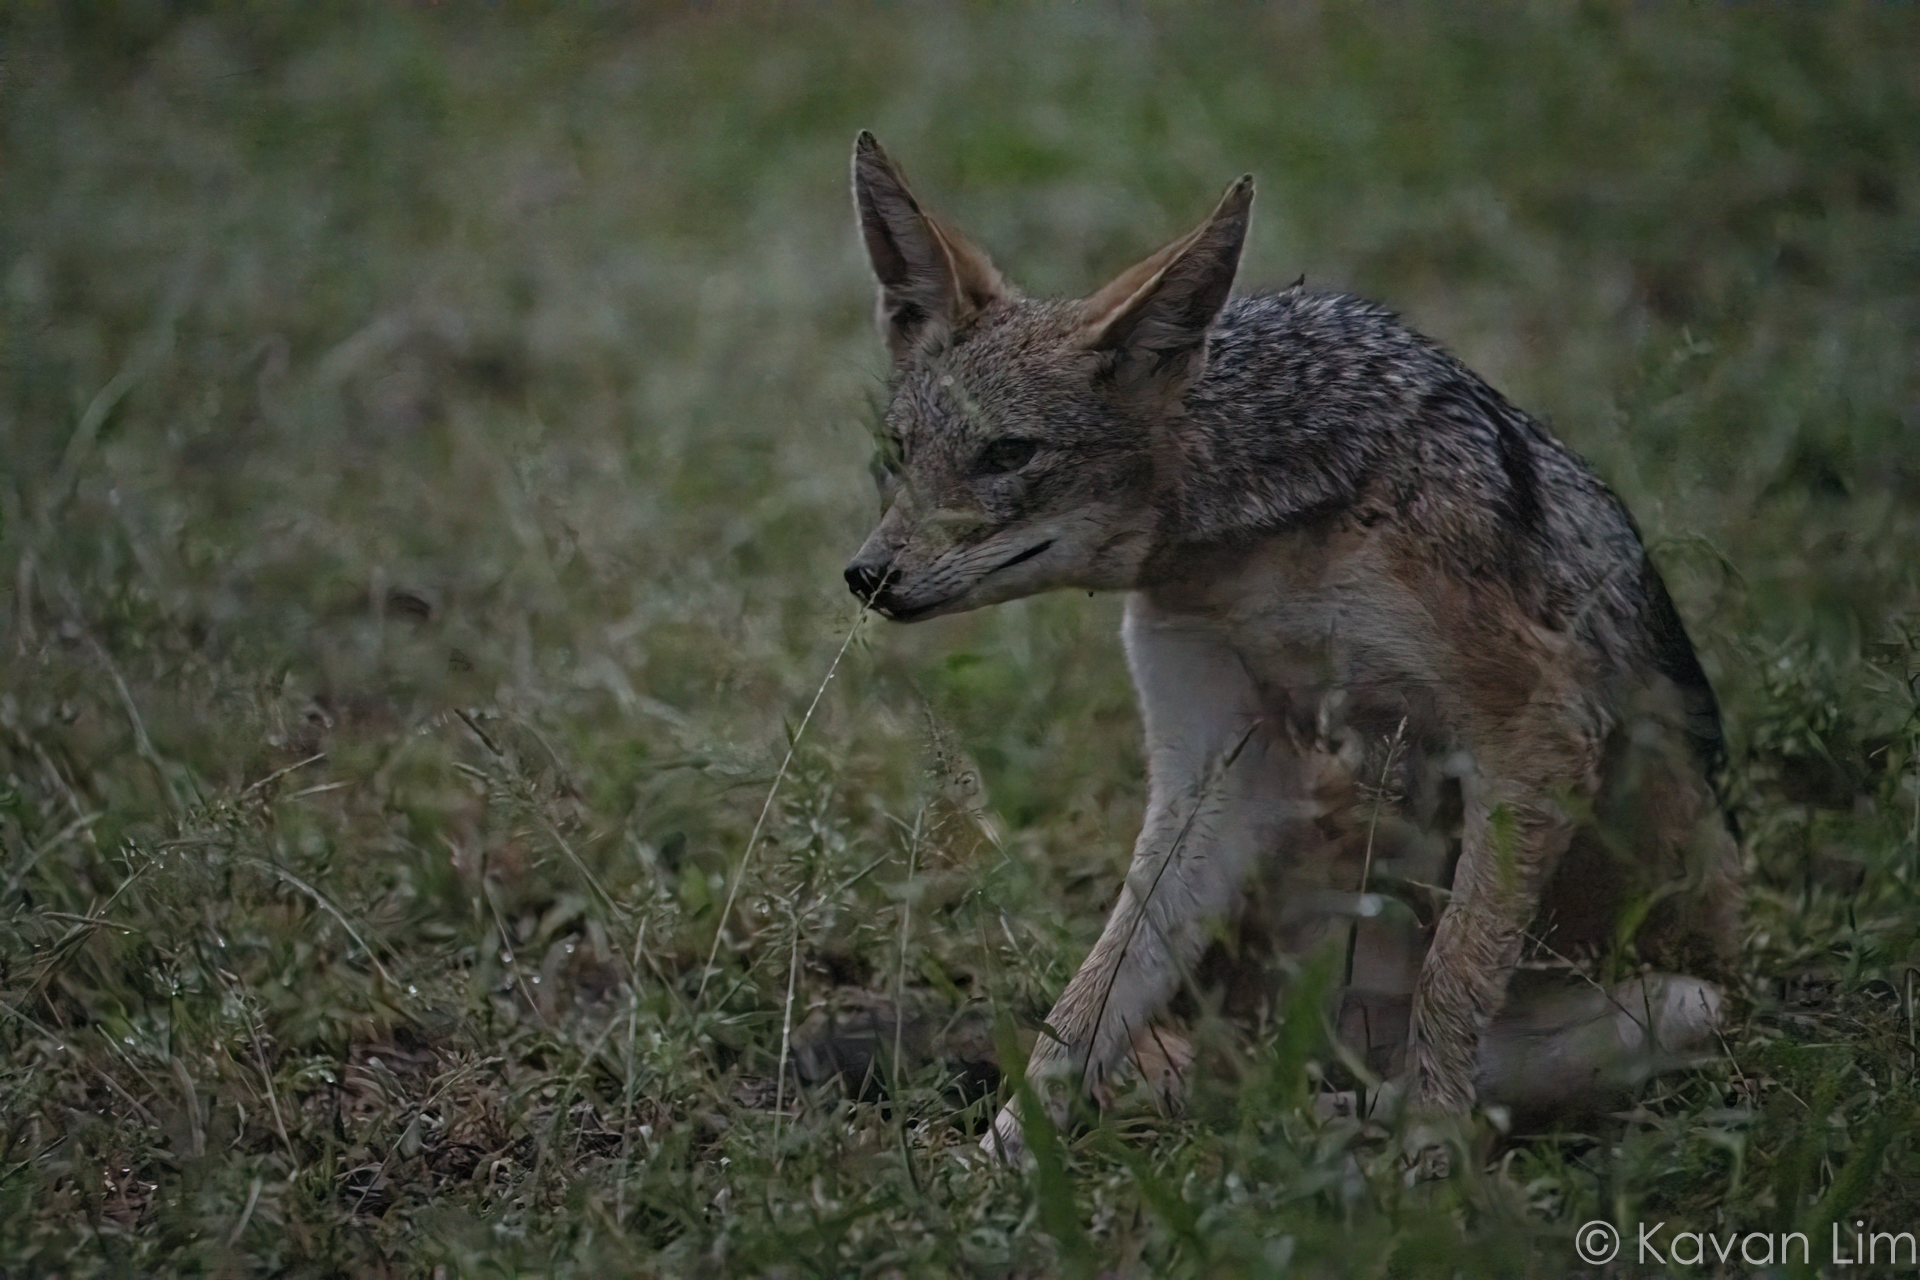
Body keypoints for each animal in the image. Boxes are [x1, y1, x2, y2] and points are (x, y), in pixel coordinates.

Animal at [840, 132, 1743, 1164]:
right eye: (899, 450)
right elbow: (1084, 1006)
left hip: (1691, 1006)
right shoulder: (1219, 772)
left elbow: (1453, 980)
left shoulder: (1538, 723)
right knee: (1216, 1070)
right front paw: (999, 1160)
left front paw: (1432, 1164)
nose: (866, 576)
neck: (1262, 550)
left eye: (1007, 454)